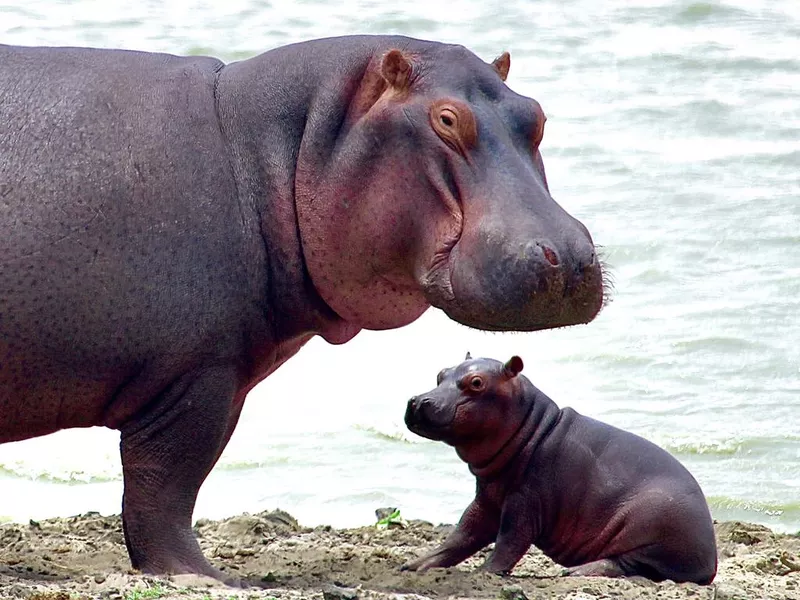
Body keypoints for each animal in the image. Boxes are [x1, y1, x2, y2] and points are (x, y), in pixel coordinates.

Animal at [0, 35, 604, 580]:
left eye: (536, 114)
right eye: (447, 119)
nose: (571, 257)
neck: (275, 144)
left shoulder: (221, 376)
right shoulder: (199, 371)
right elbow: (166, 483)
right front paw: (205, 576)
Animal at [404, 354, 716, 584]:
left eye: (477, 382)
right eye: (441, 373)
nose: (418, 401)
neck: (533, 428)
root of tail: (711, 560)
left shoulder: (524, 502)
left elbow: (509, 540)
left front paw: (484, 573)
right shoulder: (488, 498)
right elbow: (461, 535)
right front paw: (414, 566)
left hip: (652, 522)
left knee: (628, 564)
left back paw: (575, 571)